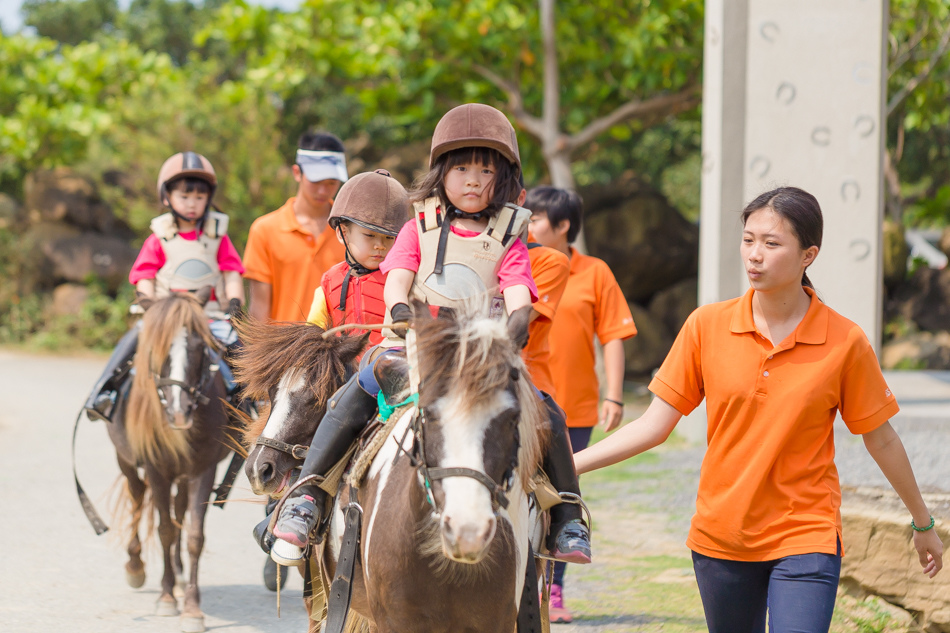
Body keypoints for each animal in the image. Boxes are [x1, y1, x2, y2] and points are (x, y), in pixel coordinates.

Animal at [109, 292, 236, 632]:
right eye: (157, 348)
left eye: (200, 347)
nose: (180, 411)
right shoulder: (157, 470)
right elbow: (165, 530)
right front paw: (166, 598)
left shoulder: (203, 471)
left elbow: (193, 536)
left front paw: (191, 607)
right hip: (127, 462)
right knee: (138, 500)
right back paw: (136, 566)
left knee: (178, 511)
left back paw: (178, 577)